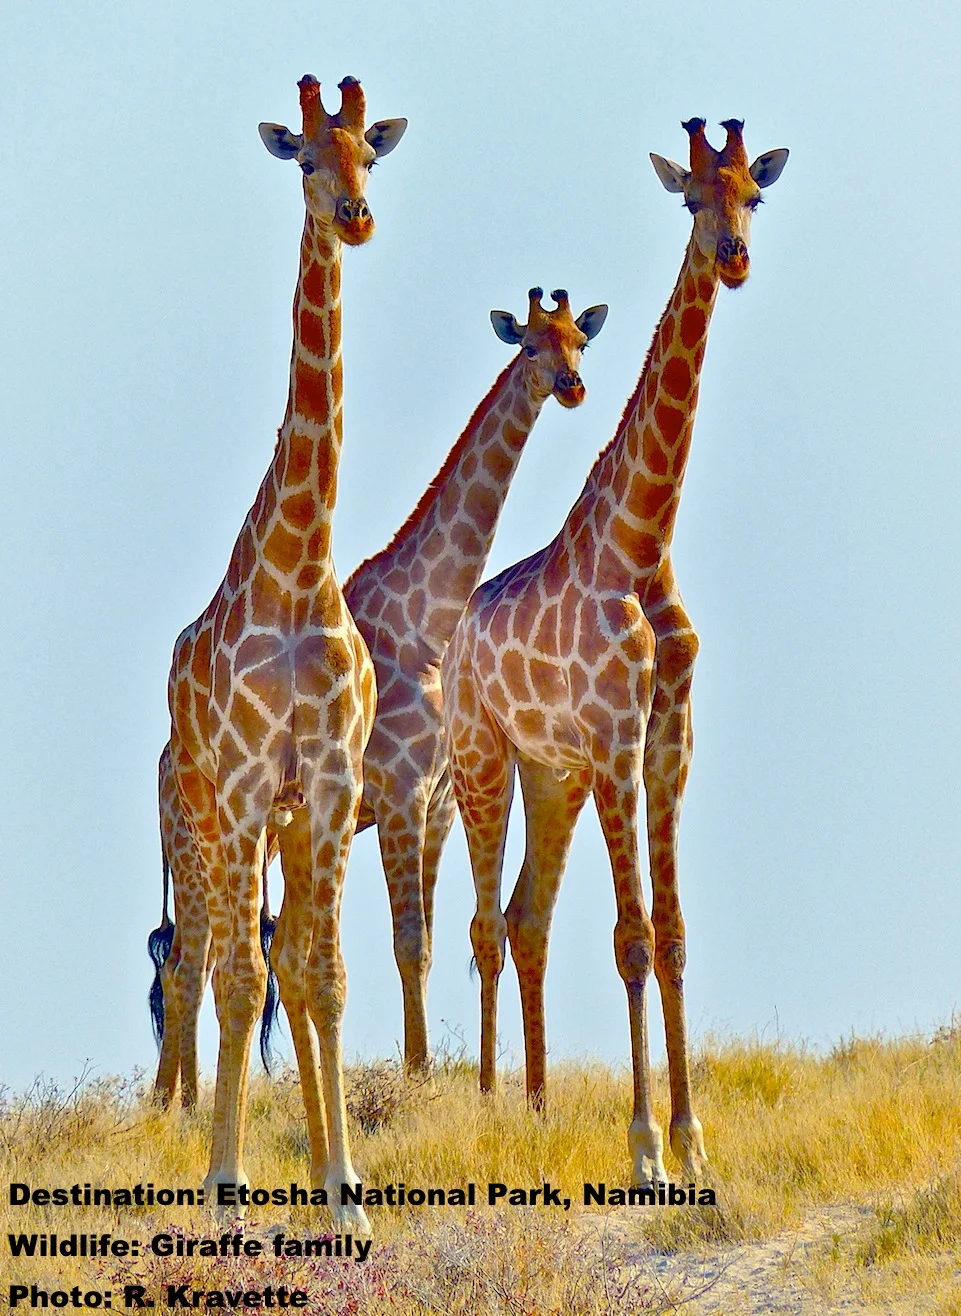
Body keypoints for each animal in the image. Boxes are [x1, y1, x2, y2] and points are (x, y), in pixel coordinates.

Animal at [150, 287, 609, 1099]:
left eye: (578, 343)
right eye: (531, 345)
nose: (571, 386)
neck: (427, 620)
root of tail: (161, 761)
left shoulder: (436, 802)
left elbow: (427, 938)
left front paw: (435, 1077)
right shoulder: (396, 792)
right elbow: (407, 941)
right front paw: (420, 1075)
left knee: (238, 956)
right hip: (202, 836)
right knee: (189, 960)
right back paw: (178, 1106)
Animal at [440, 119, 788, 1185]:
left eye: (753, 194)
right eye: (690, 200)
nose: (735, 257)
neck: (642, 540)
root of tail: (453, 639)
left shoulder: (666, 745)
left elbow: (670, 936)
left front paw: (693, 1143)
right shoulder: (613, 744)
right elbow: (630, 937)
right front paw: (643, 1152)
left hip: (548, 776)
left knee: (525, 918)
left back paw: (538, 1108)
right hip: (483, 760)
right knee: (483, 923)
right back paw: (485, 1108)